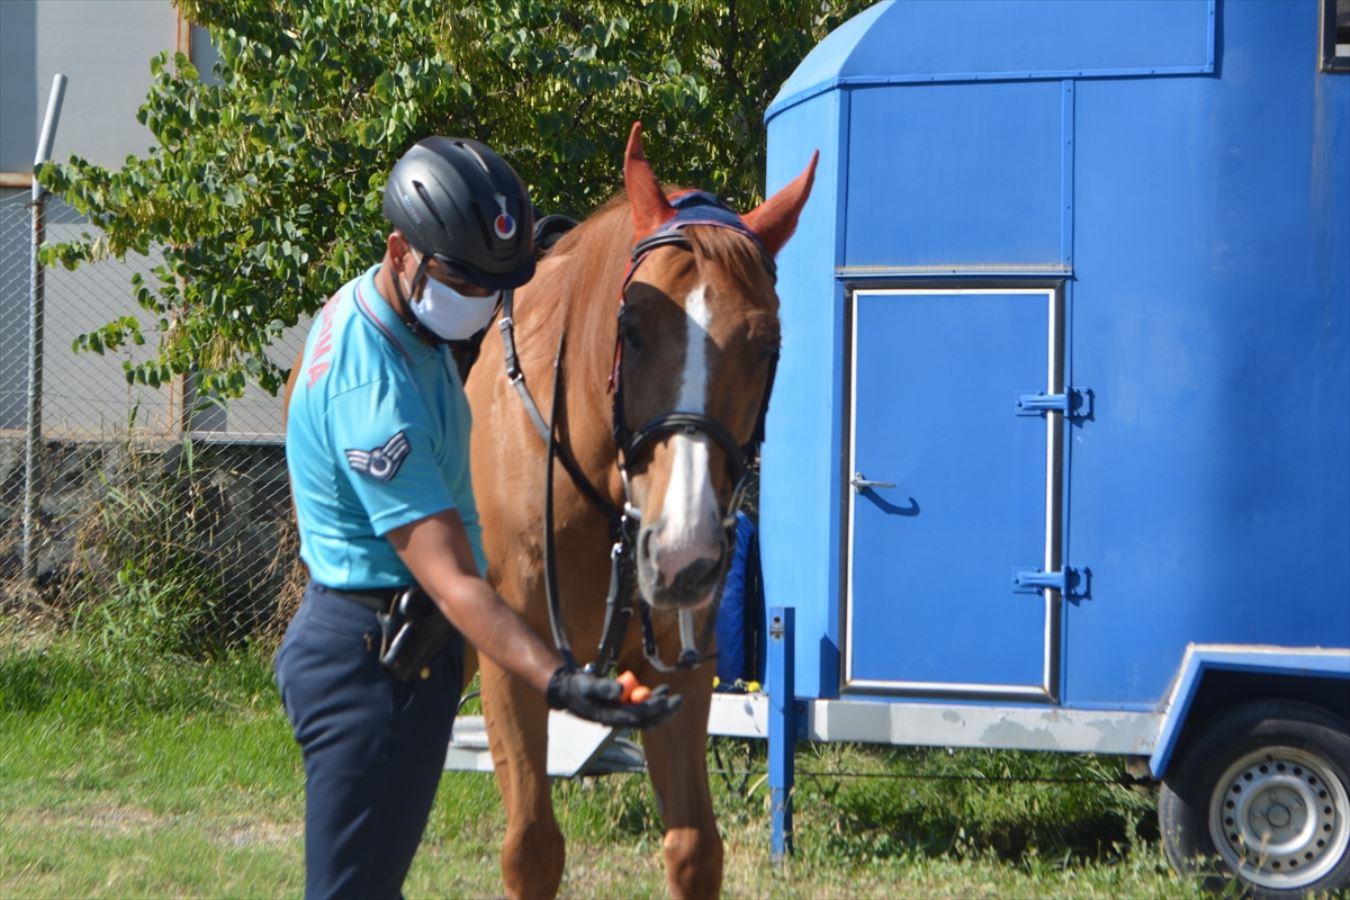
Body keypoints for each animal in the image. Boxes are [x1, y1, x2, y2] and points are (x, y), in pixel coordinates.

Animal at [469, 123, 815, 895]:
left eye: (769, 343)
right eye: (630, 327)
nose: (684, 554)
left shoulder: (680, 671)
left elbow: (694, 848)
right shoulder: (509, 661)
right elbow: (532, 848)